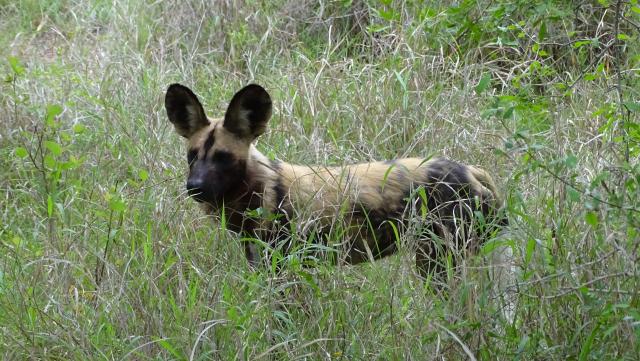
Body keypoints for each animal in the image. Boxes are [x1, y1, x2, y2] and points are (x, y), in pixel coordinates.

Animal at [165, 83, 504, 278]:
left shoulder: (284, 269)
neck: (263, 188)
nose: (194, 186)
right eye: (192, 155)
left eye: (223, 157)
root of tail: (468, 168)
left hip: (436, 262)